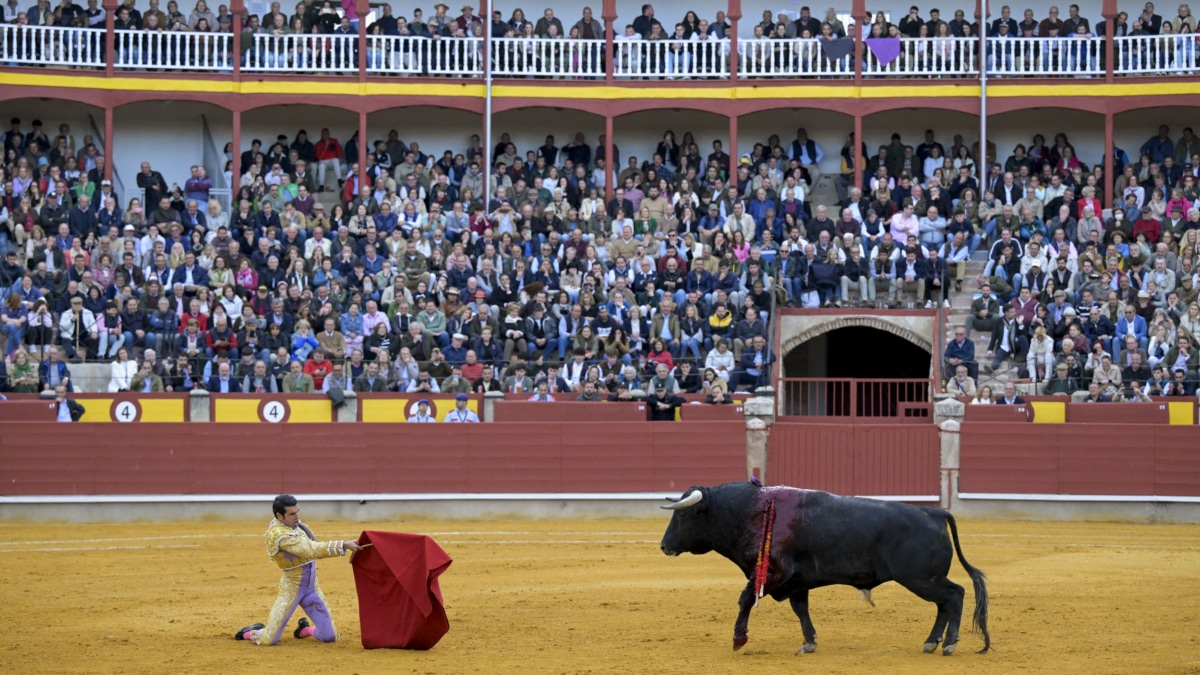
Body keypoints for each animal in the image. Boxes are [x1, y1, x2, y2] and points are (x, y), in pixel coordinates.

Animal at [662, 480, 988, 653]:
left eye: (682, 516)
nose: (664, 546)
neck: (751, 511)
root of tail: (934, 513)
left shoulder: (772, 572)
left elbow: (745, 599)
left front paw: (738, 639)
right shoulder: (795, 581)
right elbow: (800, 609)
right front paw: (809, 642)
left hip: (922, 578)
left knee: (954, 595)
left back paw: (948, 643)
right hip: (926, 579)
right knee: (944, 603)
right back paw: (932, 642)